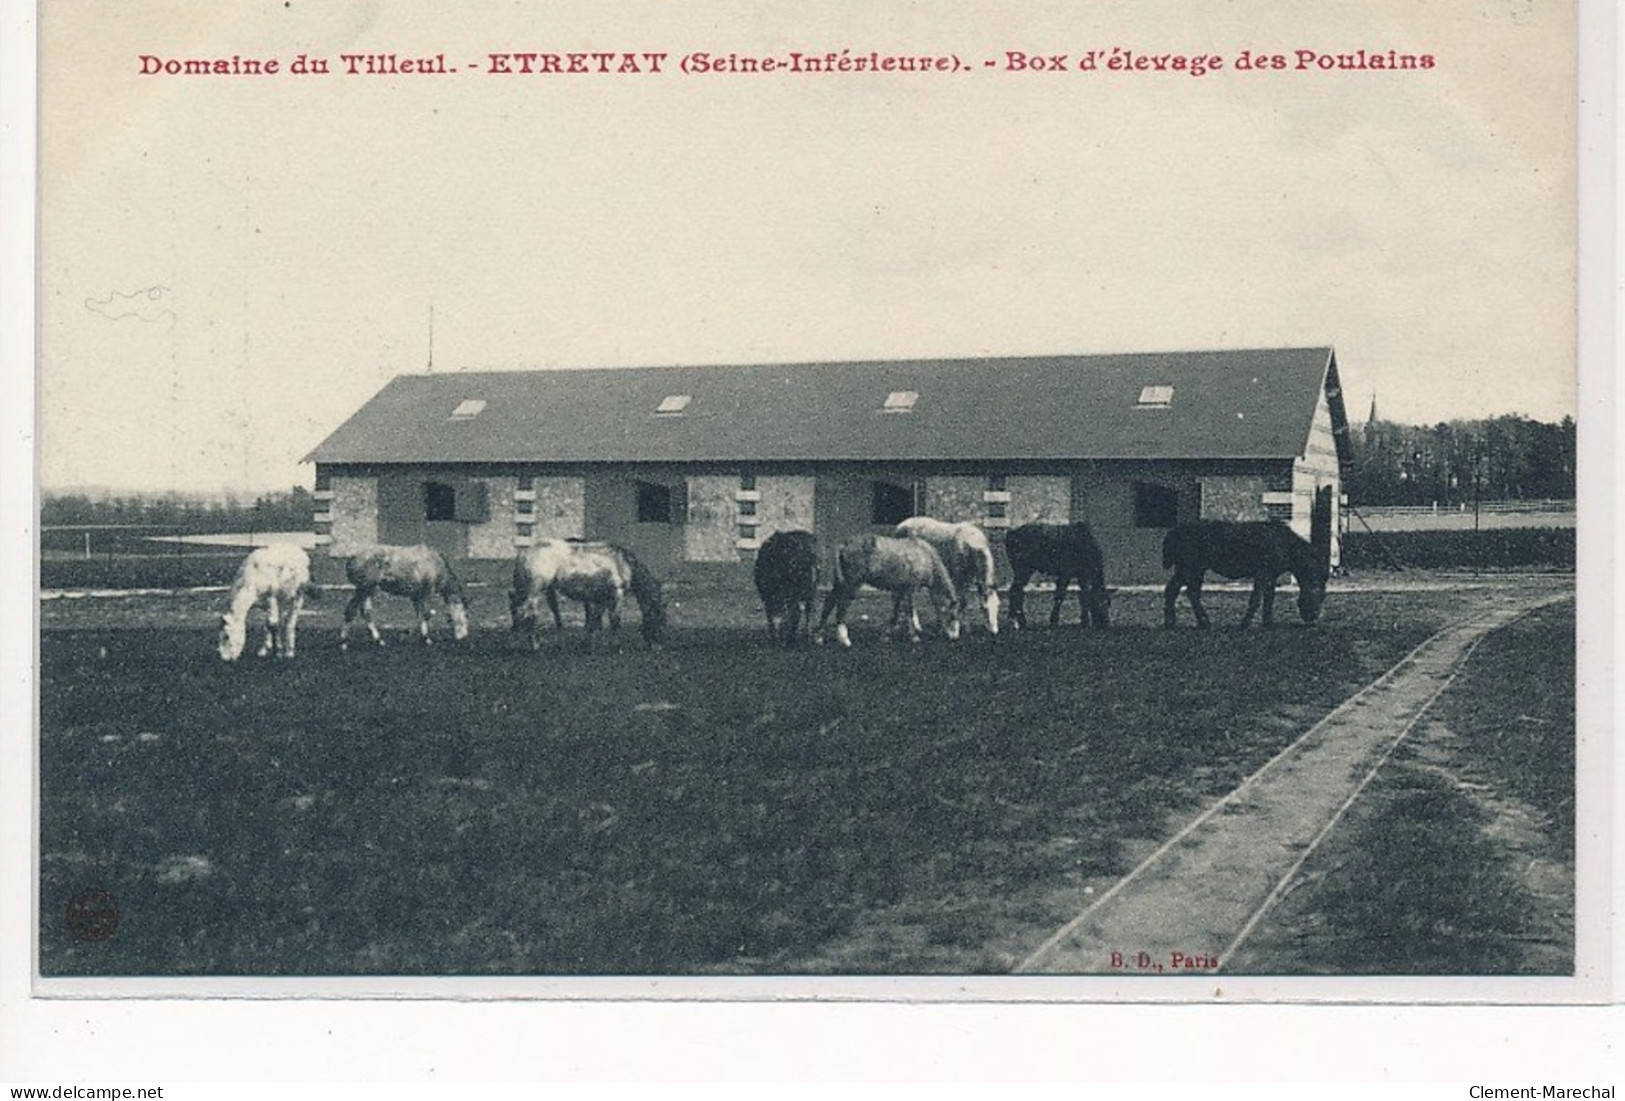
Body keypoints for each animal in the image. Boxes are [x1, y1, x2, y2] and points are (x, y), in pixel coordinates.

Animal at [812, 535, 962, 652]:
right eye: (952, 616)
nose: (954, 638)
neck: (925, 556)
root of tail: (843, 545)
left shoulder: (900, 590)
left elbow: (896, 611)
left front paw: (887, 634)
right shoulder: (909, 588)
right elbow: (909, 611)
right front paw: (914, 636)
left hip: (840, 583)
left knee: (829, 602)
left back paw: (819, 637)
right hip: (851, 583)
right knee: (841, 605)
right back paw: (844, 639)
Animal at [1163, 522, 1326, 630]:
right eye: (1317, 591)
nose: (1312, 618)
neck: (1288, 547)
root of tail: (1173, 533)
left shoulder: (1270, 576)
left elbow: (1268, 599)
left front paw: (1267, 622)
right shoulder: (1263, 574)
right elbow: (1256, 599)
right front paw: (1246, 623)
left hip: (1190, 569)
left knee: (1179, 591)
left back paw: (1179, 622)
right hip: (1191, 568)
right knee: (1185, 592)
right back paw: (1192, 622)